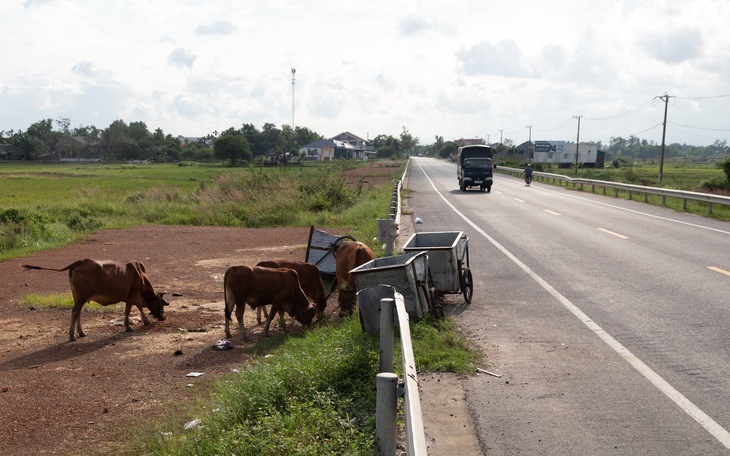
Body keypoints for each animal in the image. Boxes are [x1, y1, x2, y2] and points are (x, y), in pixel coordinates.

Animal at [20, 260, 169, 342]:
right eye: (161, 304)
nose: (164, 317)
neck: (141, 276)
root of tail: (79, 262)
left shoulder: (134, 298)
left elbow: (140, 308)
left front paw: (146, 320)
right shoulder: (131, 297)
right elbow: (128, 311)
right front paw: (128, 327)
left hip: (78, 297)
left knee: (78, 313)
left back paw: (81, 332)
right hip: (81, 297)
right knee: (75, 312)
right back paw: (72, 335)